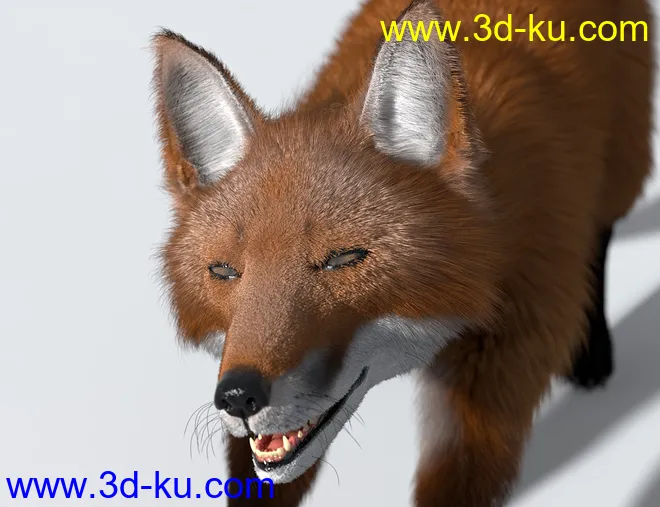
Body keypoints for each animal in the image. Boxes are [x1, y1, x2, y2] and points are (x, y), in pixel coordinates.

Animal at [150, 0, 654, 504]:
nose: (238, 396)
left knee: (601, 236)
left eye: (343, 259)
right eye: (225, 272)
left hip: (622, 160)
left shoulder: (507, 346)